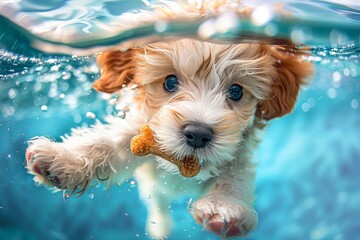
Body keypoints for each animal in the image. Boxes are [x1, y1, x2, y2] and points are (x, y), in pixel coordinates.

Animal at [25, 39, 312, 238]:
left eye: (236, 91)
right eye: (170, 83)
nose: (198, 133)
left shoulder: (240, 149)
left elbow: (235, 174)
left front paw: (224, 205)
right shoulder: (140, 132)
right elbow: (109, 142)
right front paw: (64, 160)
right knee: (159, 203)